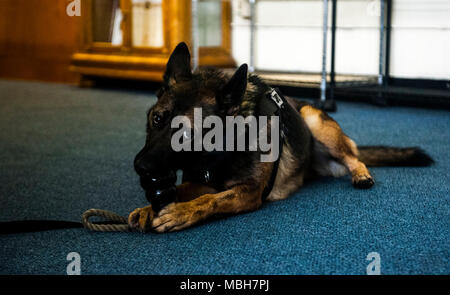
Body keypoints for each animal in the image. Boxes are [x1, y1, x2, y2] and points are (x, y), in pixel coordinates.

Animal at [127, 42, 432, 235]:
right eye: (157, 119)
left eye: (186, 134)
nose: (140, 167)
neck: (225, 149)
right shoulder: (202, 181)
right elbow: (183, 190)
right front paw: (148, 208)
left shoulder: (249, 193)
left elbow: (209, 201)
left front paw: (181, 212)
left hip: (313, 117)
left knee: (355, 158)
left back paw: (361, 174)